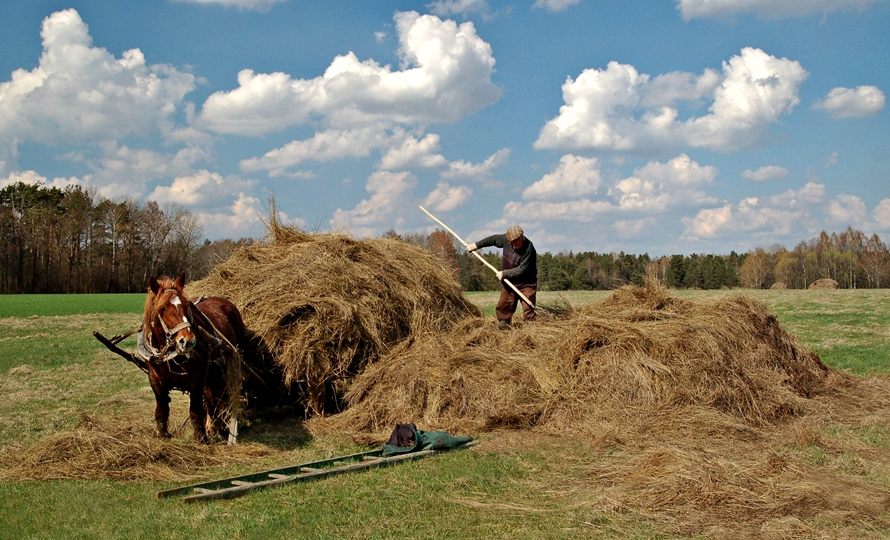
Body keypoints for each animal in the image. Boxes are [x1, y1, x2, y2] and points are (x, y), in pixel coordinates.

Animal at [142, 272, 246, 446]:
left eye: (186, 306)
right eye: (162, 308)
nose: (188, 341)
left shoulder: (196, 379)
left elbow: (196, 410)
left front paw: (200, 438)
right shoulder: (154, 379)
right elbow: (162, 408)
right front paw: (162, 434)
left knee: (220, 397)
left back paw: (221, 426)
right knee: (211, 398)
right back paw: (214, 426)